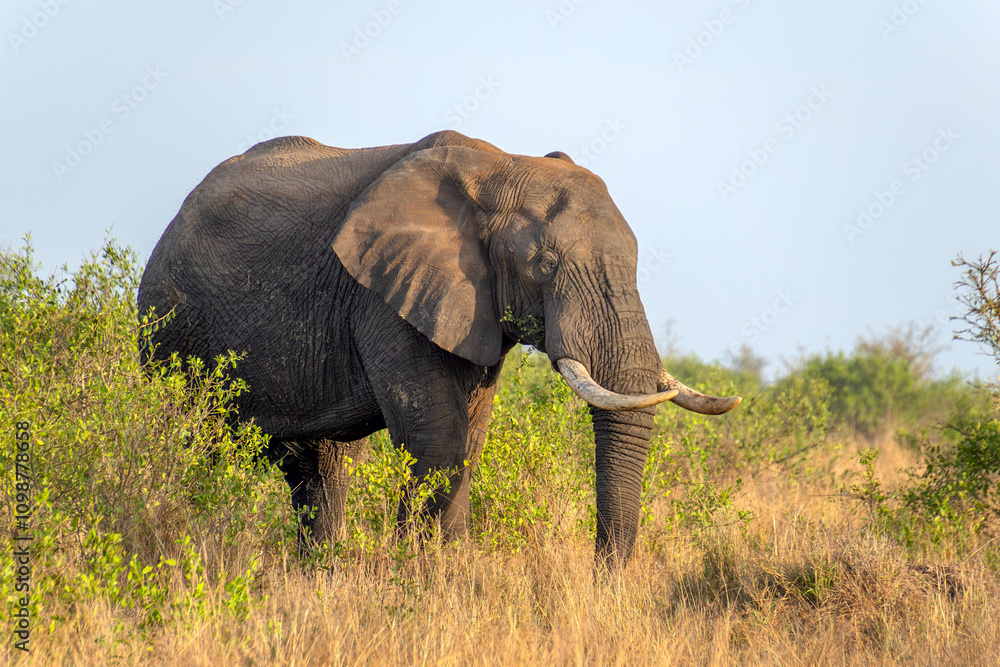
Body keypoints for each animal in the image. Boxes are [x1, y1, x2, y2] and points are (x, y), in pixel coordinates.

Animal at [137, 130, 740, 567]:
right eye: (544, 264)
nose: (602, 583)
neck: (500, 167)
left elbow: (468, 442)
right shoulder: (383, 294)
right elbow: (439, 441)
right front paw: (425, 585)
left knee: (320, 469)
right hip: (170, 329)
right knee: (188, 447)